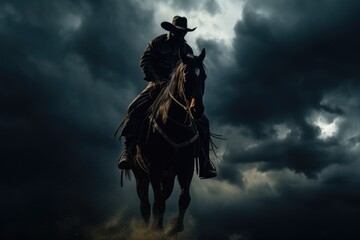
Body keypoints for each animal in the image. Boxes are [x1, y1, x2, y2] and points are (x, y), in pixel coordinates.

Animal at [130, 47, 208, 235]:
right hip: (140, 173)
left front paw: (174, 227)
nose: (197, 109)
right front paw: (158, 230)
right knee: (146, 204)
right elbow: (158, 203)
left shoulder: (186, 167)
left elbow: (184, 198)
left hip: (168, 176)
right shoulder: (153, 168)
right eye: (186, 75)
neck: (174, 126)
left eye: (203, 76)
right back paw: (149, 227)